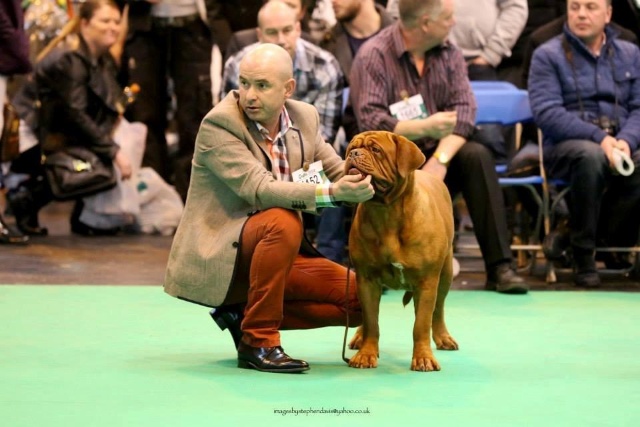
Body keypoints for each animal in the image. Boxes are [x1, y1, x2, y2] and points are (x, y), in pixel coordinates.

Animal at [344, 130, 460, 372]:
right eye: (351, 148)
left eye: (376, 150)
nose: (354, 154)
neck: (386, 211)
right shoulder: (366, 279)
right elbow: (371, 320)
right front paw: (366, 354)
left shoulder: (426, 283)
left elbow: (421, 324)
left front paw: (423, 358)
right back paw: (359, 337)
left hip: (444, 274)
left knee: (438, 310)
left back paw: (443, 338)